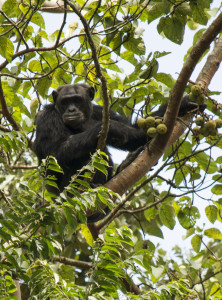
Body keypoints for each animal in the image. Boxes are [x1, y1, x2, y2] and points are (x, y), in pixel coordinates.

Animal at [33, 83, 200, 221]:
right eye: (65, 102)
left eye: (77, 100)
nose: (71, 109)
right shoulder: (46, 117)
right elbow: (56, 152)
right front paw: (114, 127)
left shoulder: (101, 111)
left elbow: (136, 132)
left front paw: (184, 104)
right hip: (64, 195)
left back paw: (125, 166)